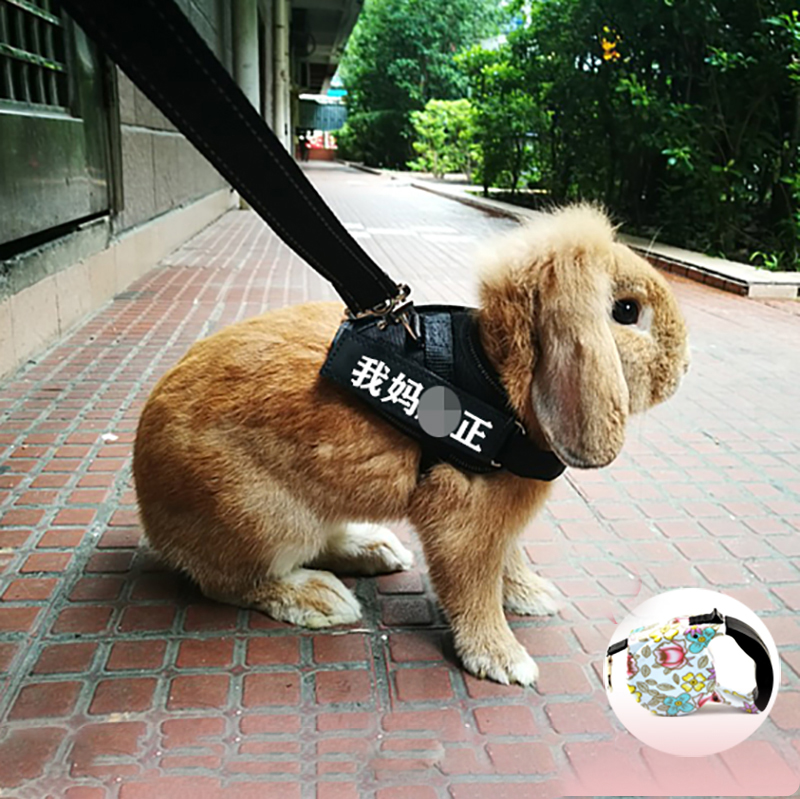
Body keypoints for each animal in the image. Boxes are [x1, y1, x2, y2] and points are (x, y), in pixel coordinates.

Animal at [133, 204, 689, 686]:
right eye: (626, 311)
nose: (683, 366)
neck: (499, 375)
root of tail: (146, 491)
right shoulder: (465, 521)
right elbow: (474, 588)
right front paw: (503, 659)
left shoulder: (503, 523)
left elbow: (509, 560)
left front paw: (533, 595)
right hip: (266, 520)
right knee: (231, 582)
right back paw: (320, 598)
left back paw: (374, 550)